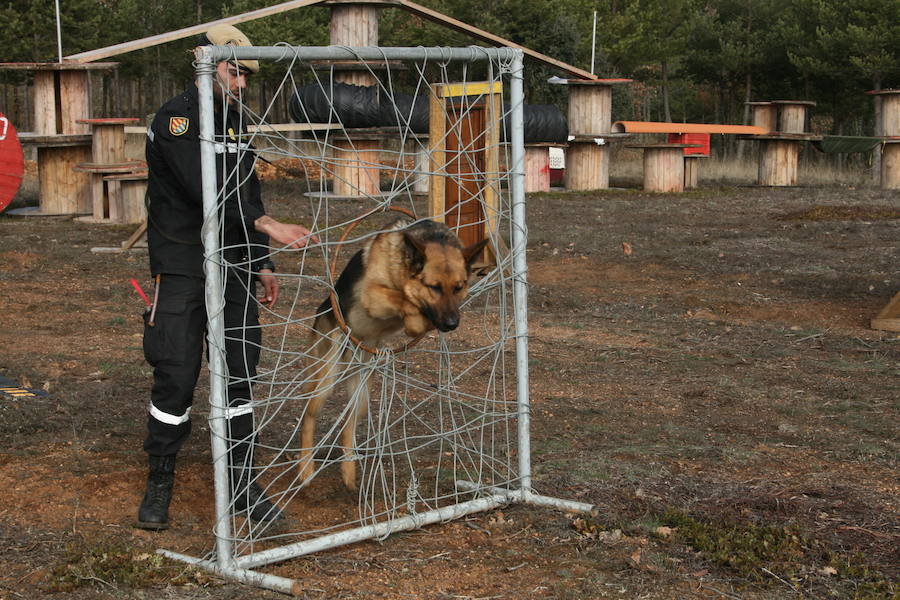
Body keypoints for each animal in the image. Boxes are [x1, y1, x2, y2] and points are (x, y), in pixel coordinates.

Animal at [298, 218, 488, 490]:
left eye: (458, 288)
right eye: (434, 287)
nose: (452, 324)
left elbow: (412, 308)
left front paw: (416, 321)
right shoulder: (372, 294)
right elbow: (402, 298)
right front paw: (413, 314)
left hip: (362, 394)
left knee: (348, 425)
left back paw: (348, 470)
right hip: (324, 381)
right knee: (308, 418)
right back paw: (305, 469)